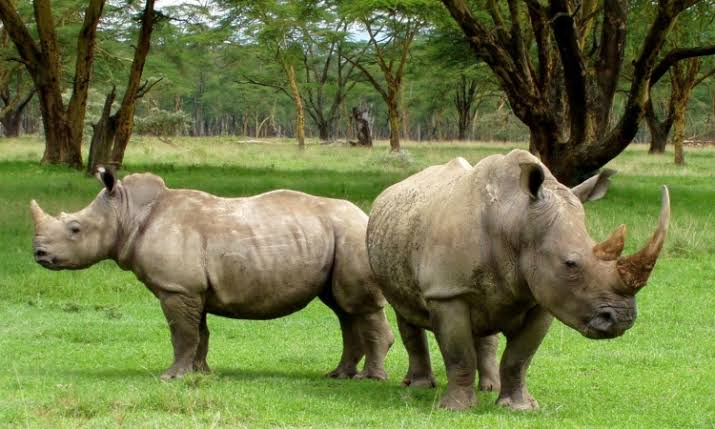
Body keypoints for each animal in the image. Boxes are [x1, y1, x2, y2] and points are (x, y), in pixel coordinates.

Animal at [31, 168, 394, 380]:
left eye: (75, 228)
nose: (39, 254)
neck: (126, 213)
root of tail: (366, 215)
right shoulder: (192, 289)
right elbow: (199, 334)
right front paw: (200, 374)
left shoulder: (176, 288)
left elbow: (182, 334)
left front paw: (170, 377)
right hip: (339, 237)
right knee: (343, 308)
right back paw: (339, 375)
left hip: (351, 235)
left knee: (357, 306)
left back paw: (369, 379)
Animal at [366, 149, 669, 411]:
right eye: (570, 264)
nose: (622, 320)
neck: (516, 220)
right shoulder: (447, 291)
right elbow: (459, 354)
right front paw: (455, 408)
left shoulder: (544, 297)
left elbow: (520, 357)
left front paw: (518, 407)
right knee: (405, 311)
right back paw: (418, 386)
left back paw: (489, 387)